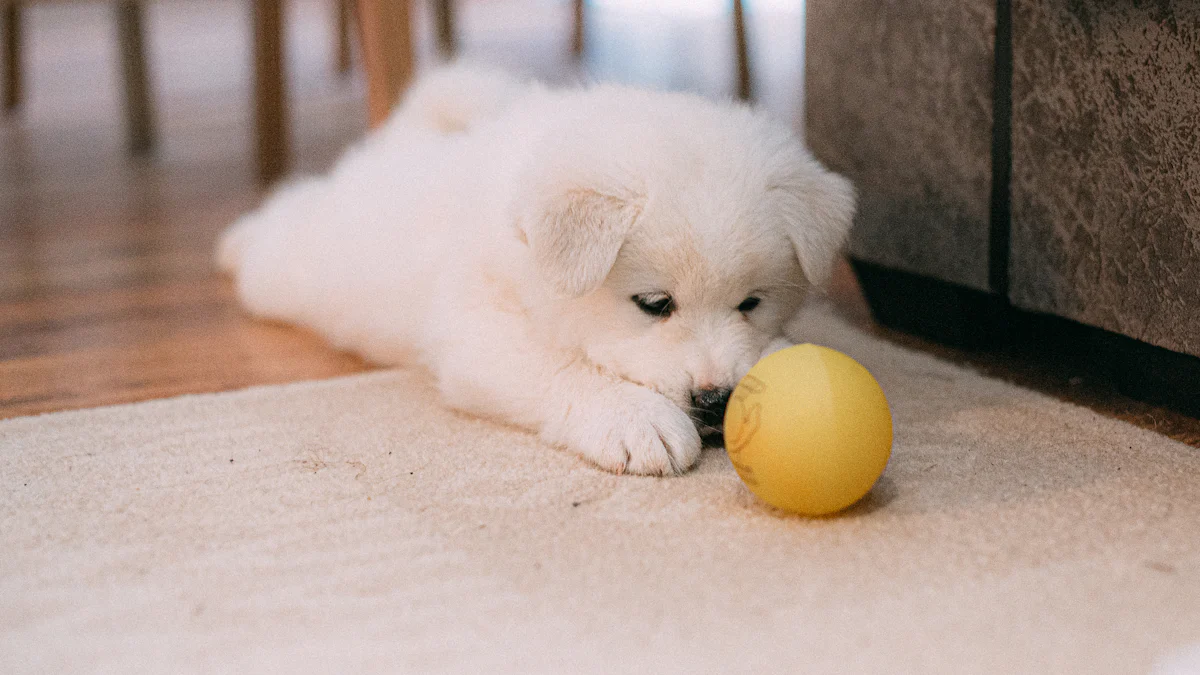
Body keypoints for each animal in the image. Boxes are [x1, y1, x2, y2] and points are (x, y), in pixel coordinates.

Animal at [216, 64, 854, 473]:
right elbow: (561, 369)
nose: (717, 399)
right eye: (655, 304)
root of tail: (397, 143)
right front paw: (637, 420)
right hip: (296, 267)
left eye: (751, 303)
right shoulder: (481, 334)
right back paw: (235, 241)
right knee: (281, 219)